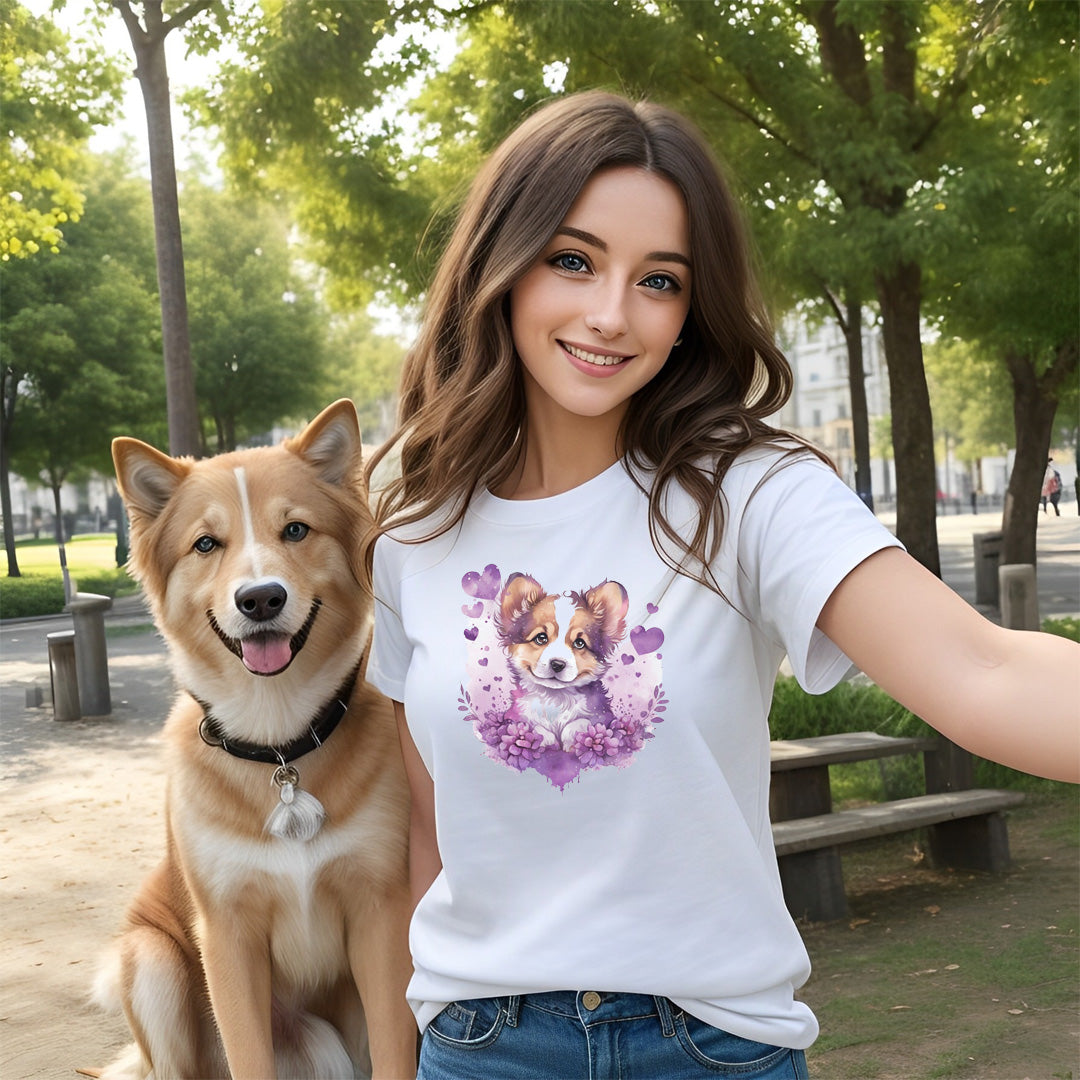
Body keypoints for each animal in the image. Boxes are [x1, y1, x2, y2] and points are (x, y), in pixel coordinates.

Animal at [96, 401, 412, 1075]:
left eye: (295, 530)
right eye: (206, 544)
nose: (261, 598)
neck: (279, 748)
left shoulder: (381, 913)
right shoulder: (227, 935)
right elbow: (248, 1053)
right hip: (152, 963)